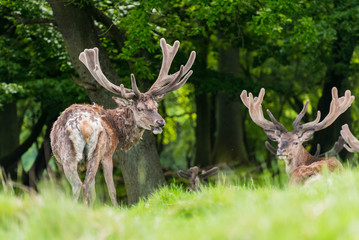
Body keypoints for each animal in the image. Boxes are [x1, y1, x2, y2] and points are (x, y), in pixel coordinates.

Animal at [50, 38, 197, 205]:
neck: (116, 129)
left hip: (66, 156)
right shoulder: (108, 153)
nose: (160, 122)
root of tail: (83, 125)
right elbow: (111, 190)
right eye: (139, 108)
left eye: (156, 106)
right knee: (83, 184)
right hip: (96, 150)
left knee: (77, 185)